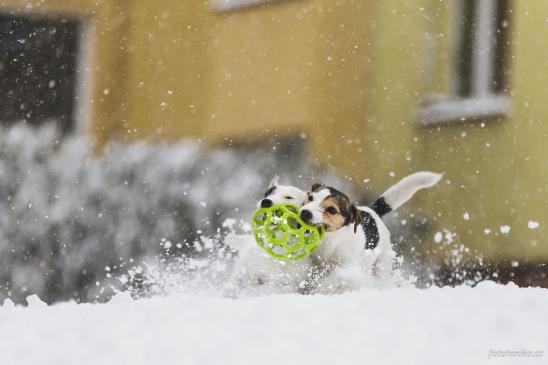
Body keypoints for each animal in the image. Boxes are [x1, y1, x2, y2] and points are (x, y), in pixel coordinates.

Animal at [298, 171, 444, 290]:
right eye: (310, 198)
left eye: (331, 210)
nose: (305, 212)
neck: (331, 242)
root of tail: (374, 212)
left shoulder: (346, 267)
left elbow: (331, 279)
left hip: (381, 266)